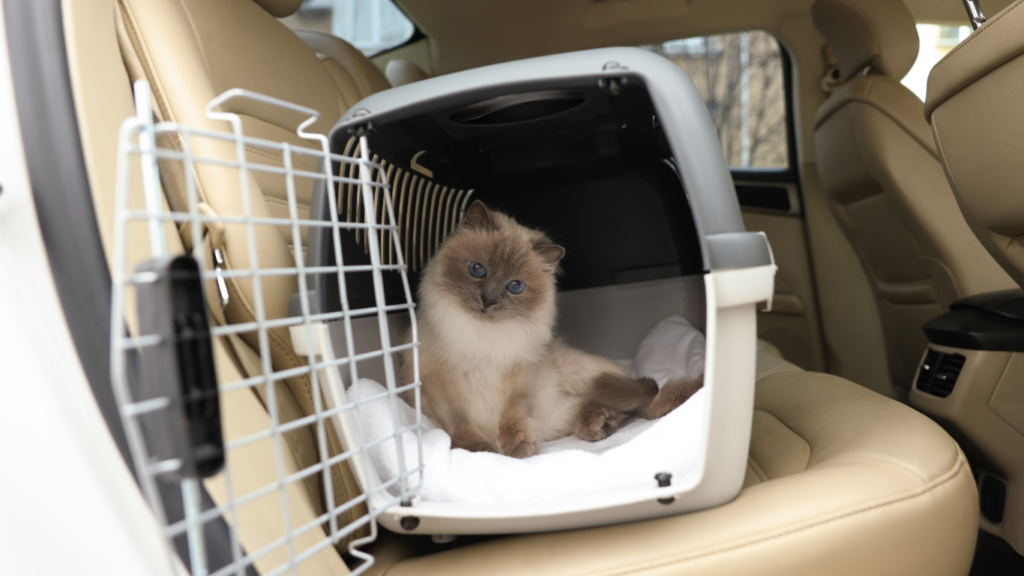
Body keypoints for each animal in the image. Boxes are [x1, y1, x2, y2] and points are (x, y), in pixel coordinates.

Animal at [399, 199, 704, 455]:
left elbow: (514, 412)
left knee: (636, 402)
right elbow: (459, 423)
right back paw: (598, 424)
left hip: (587, 372)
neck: (486, 336)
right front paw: (481, 451)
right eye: (477, 269)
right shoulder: (440, 381)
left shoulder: (522, 375)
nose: (488, 300)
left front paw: (516, 445)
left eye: (515, 286)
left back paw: (598, 423)